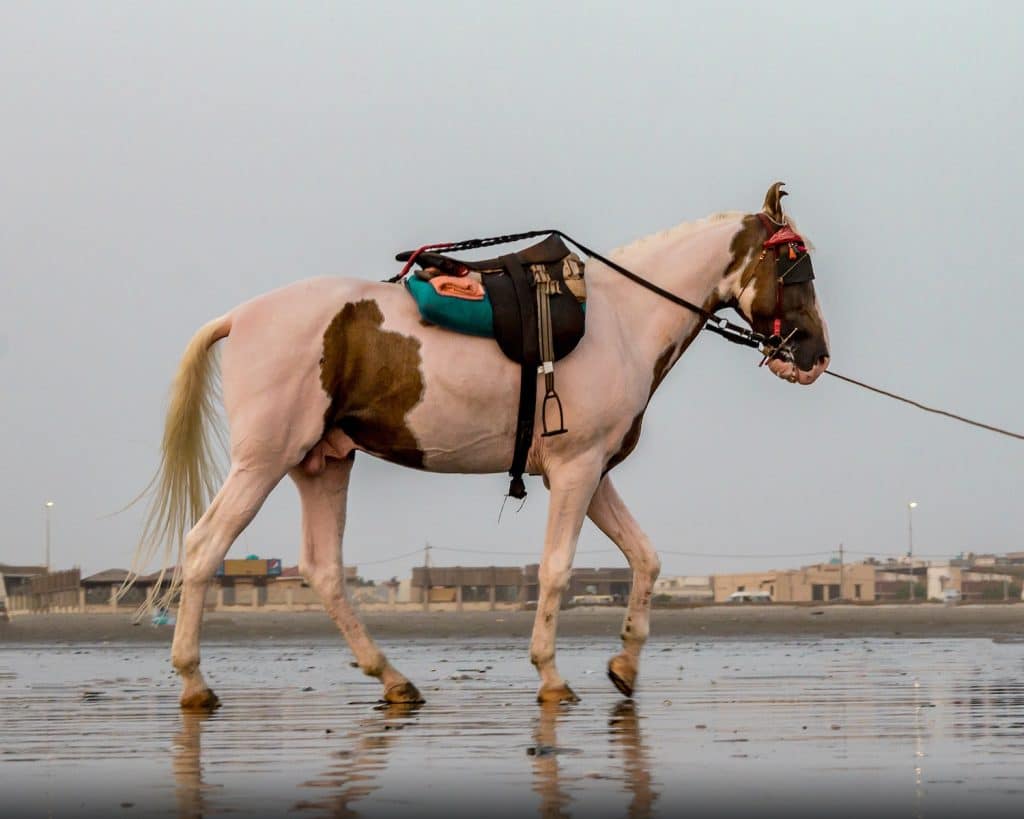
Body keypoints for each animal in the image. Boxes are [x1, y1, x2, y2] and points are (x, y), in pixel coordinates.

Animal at [134, 182, 831, 708]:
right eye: (795, 266)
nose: (815, 356)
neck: (622, 321)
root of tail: (240, 316)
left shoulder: (591, 473)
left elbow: (646, 558)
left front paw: (625, 664)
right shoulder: (575, 472)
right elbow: (556, 570)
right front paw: (550, 675)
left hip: (322, 464)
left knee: (324, 571)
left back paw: (392, 679)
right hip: (263, 462)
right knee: (202, 549)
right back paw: (194, 682)